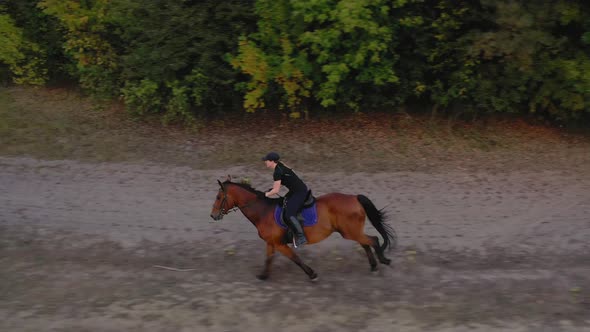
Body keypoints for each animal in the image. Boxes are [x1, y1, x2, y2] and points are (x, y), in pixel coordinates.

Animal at [209, 176, 398, 280]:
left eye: (218, 197)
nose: (213, 215)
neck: (263, 211)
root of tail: (354, 197)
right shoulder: (271, 243)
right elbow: (268, 259)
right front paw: (263, 276)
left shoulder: (279, 244)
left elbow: (296, 258)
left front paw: (312, 274)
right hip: (351, 231)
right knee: (365, 242)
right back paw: (373, 265)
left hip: (350, 232)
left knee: (372, 240)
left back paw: (383, 260)